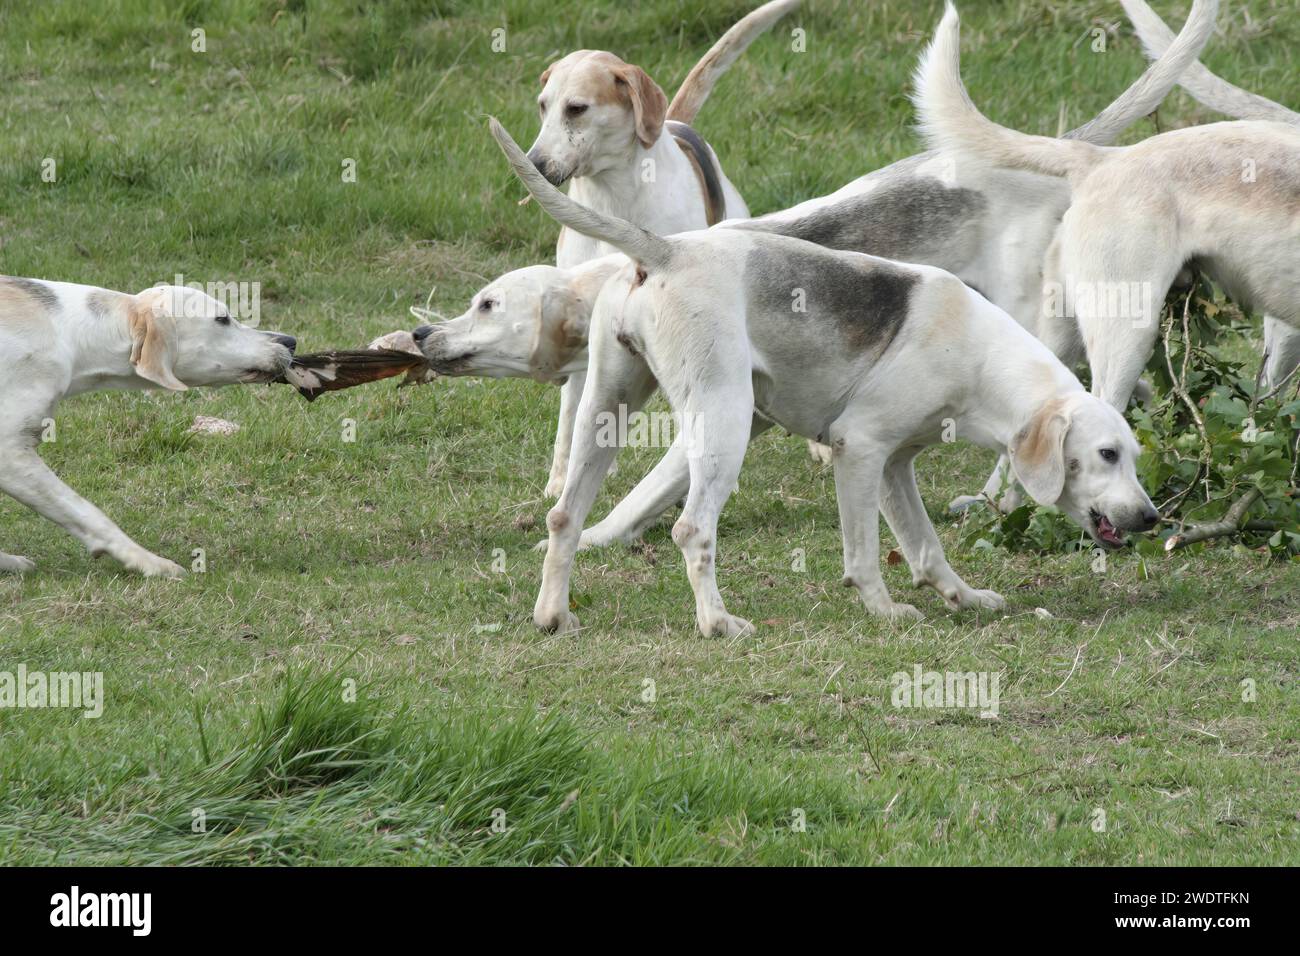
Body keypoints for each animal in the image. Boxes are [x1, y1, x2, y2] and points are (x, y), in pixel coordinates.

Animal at [0, 277, 297, 574]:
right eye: (222, 319)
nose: (291, 341)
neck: (67, 331)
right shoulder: (11, 456)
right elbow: (89, 513)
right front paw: (149, 562)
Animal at [488, 119, 1159, 639]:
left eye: (1132, 456)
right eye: (1106, 454)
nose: (1151, 518)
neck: (980, 359)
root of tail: (666, 251)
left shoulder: (894, 464)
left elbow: (926, 547)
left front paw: (964, 597)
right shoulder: (858, 448)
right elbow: (863, 554)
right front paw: (884, 610)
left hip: (606, 409)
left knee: (564, 518)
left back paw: (553, 616)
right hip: (724, 425)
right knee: (691, 528)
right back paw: (717, 623)